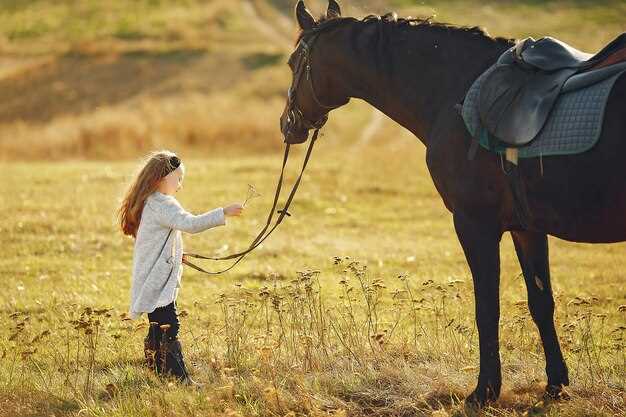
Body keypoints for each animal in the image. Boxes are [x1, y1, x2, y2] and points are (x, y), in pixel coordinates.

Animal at [280, 0, 624, 406]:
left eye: (292, 62)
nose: (287, 125)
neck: (453, 93)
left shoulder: (474, 224)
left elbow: (486, 308)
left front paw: (484, 391)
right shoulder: (527, 228)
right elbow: (541, 302)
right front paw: (556, 383)